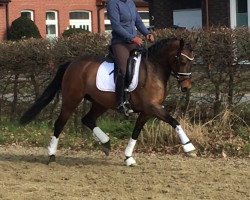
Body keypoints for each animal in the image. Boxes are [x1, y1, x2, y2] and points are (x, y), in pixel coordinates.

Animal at [20, 37, 195, 166]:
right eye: (183, 61)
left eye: (192, 62)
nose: (186, 87)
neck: (154, 69)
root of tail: (72, 63)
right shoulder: (153, 107)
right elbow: (174, 121)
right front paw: (189, 147)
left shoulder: (147, 111)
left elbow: (136, 132)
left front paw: (128, 158)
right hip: (72, 99)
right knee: (60, 124)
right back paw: (51, 155)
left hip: (101, 103)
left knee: (88, 119)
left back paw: (105, 143)